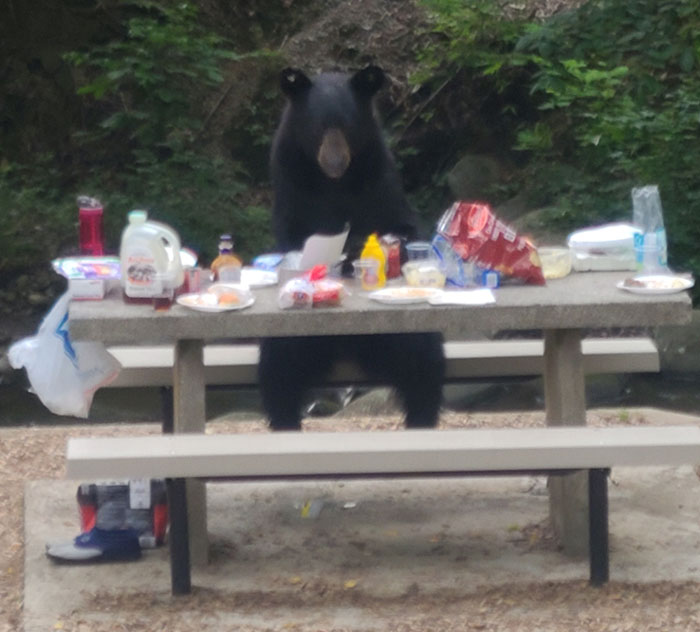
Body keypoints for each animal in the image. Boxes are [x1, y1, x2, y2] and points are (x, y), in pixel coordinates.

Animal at [258, 65, 445, 431]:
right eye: (318, 126)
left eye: (347, 126)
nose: (335, 162)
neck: (334, 185)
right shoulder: (291, 180)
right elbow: (294, 236)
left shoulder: (377, 176)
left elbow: (401, 225)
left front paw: (361, 249)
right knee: (279, 370)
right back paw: (285, 420)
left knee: (423, 364)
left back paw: (421, 417)